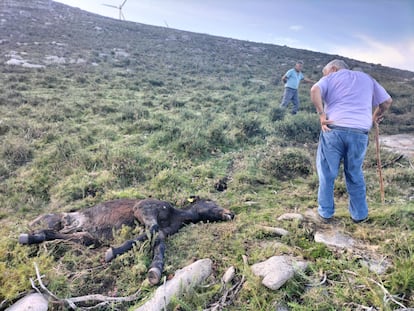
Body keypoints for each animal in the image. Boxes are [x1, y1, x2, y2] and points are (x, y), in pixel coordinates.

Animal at [19, 197, 234, 286]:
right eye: (210, 201)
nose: (230, 213)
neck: (174, 215)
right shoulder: (144, 209)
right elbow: (152, 232)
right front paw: (113, 252)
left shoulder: (162, 230)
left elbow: (157, 240)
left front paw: (154, 270)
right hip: (71, 223)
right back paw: (30, 234)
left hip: (86, 236)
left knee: (64, 235)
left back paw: (31, 237)